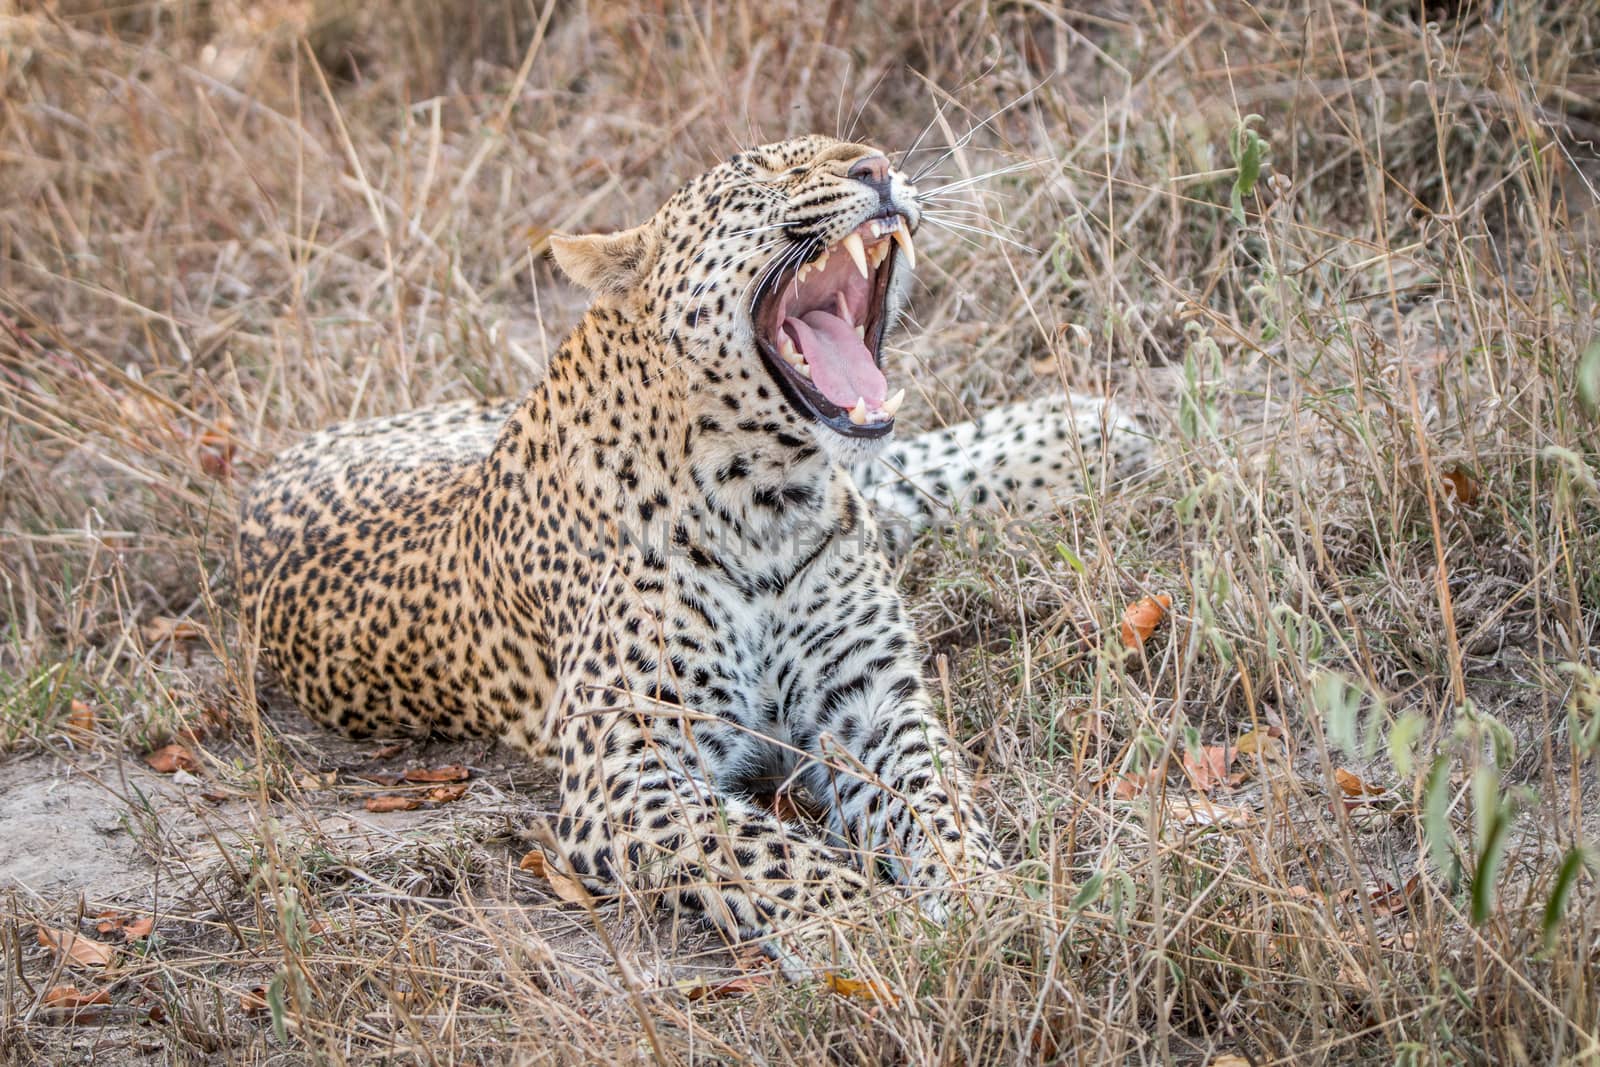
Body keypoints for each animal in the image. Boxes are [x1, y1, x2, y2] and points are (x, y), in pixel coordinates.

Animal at [236, 135, 1145, 979]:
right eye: (764, 178)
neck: (771, 499)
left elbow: (937, 803)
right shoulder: (628, 767)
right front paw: (875, 928)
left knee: (894, 477)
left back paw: (1083, 431)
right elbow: (770, 852)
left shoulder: (872, 699)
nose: (880, 168)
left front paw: (989, 896)